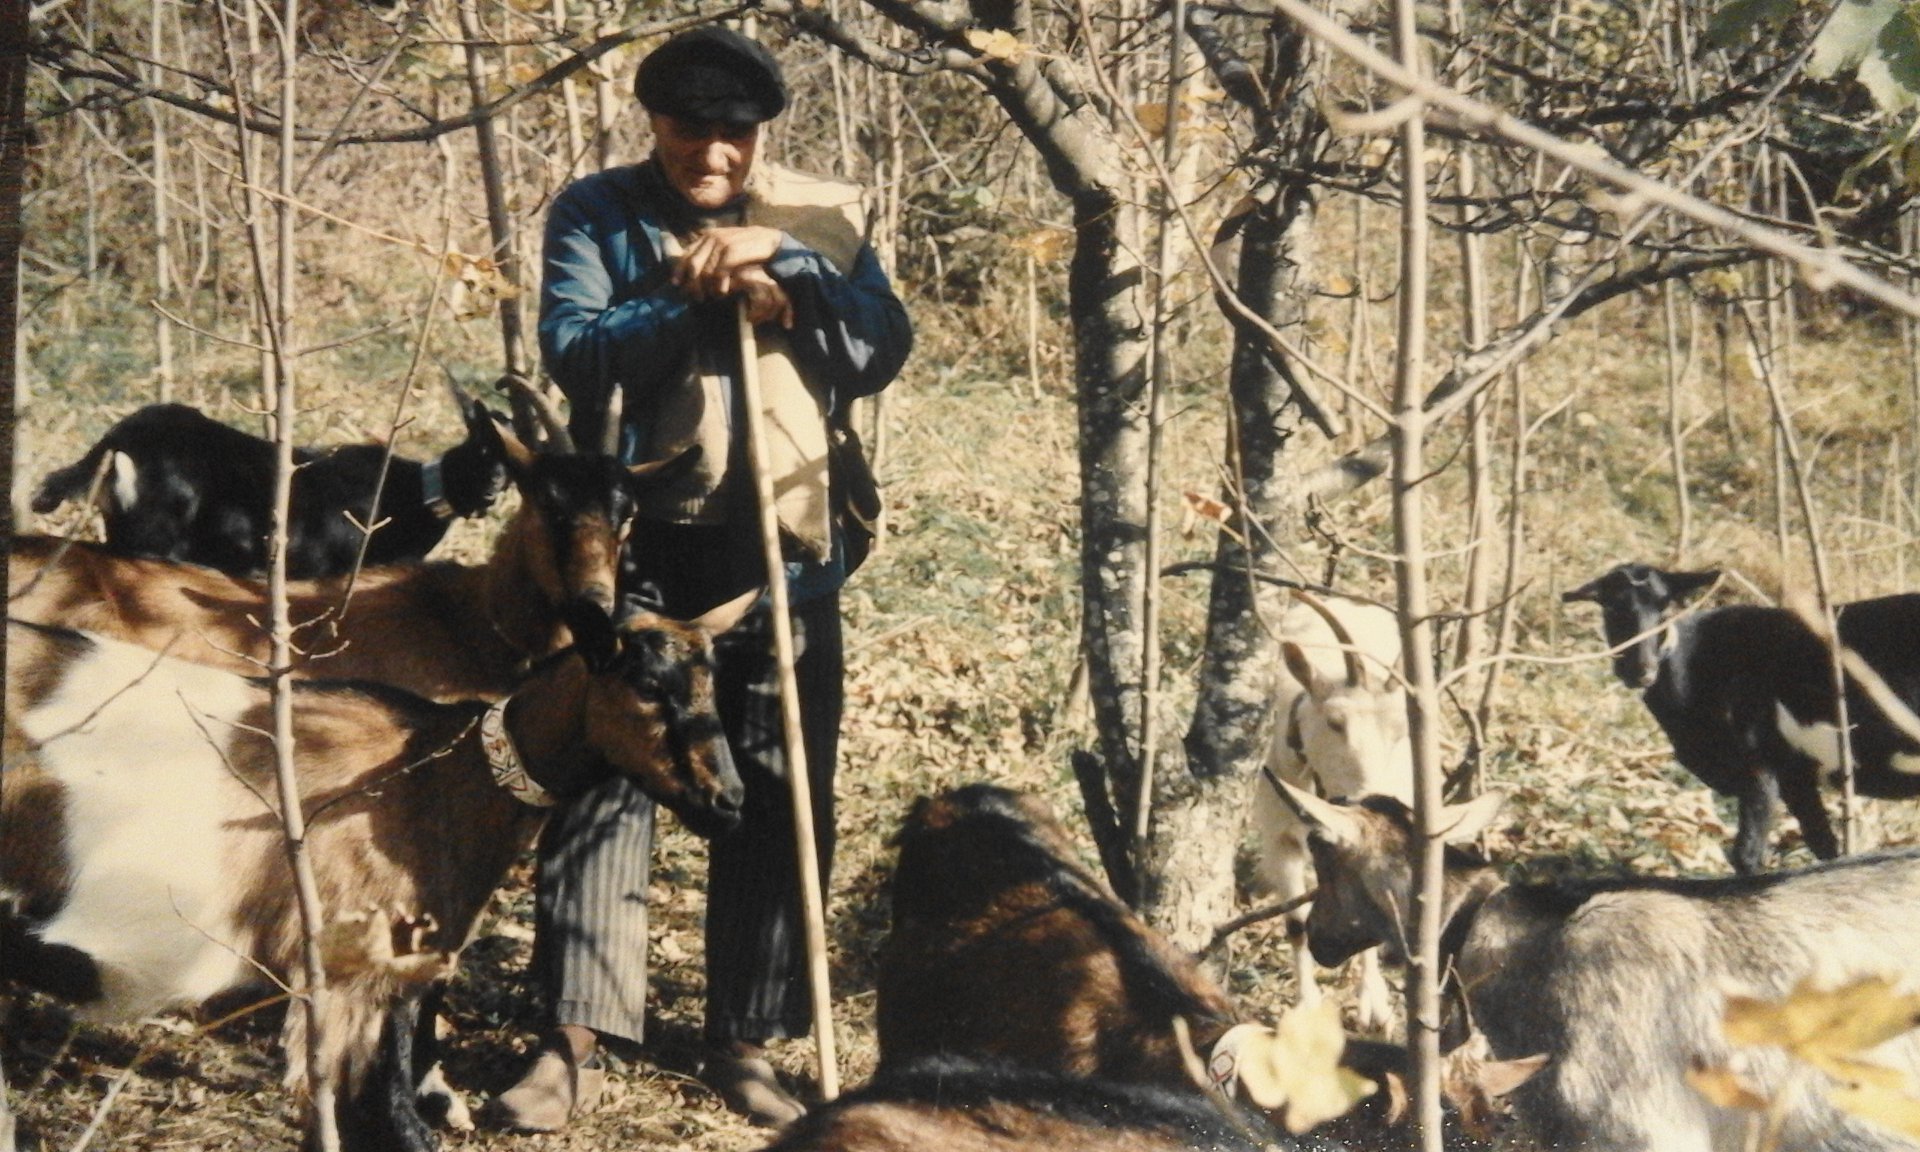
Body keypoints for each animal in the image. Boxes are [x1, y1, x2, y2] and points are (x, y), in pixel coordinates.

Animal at [1, 602, 748, 1152]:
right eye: (646, 687)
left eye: (713, 686)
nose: (730, 800)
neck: (443, 774)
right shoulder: (355, 979)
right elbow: (390, 1124)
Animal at [1244, 591, 1413, 1029]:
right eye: (1336, 721)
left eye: (1400, 731)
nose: (1376, 799)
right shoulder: (1279, 838)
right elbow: (1295, 924)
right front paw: (1305, 1006)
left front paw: (1374, 1006)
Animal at [1559, 564, 1920, 871]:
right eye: (1610, 608)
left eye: (1666, 608)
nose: (1640, 671)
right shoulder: (1795, 775)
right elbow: (1824, 845)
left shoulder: (1759, 764)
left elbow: (1747, 854)